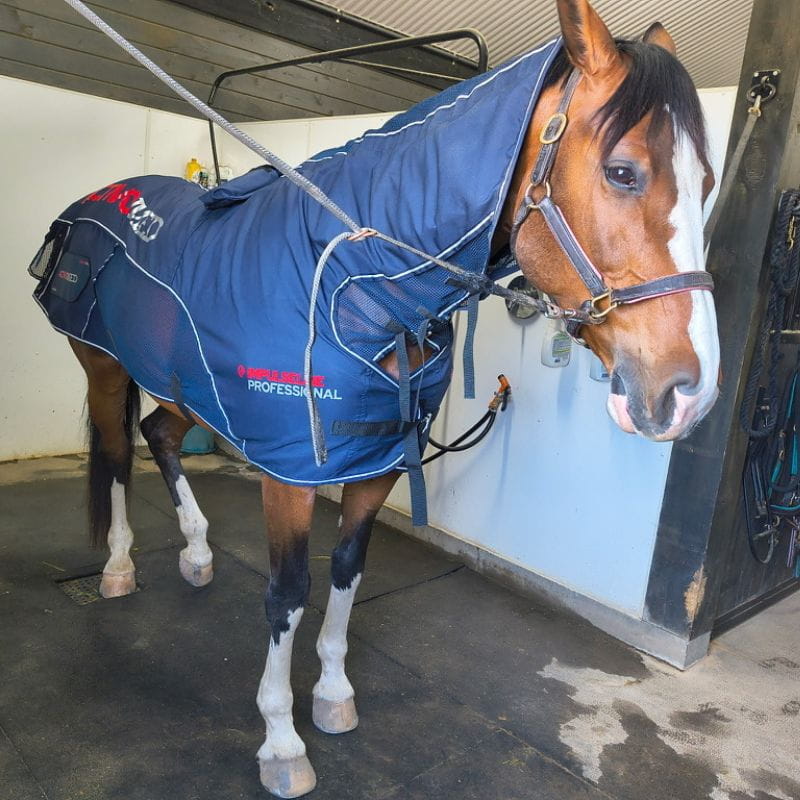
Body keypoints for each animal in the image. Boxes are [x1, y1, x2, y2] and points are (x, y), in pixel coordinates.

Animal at [29, 0, 720, 796]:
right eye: (623, 171)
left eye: (706, 183)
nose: (691, 391)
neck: (358, 280)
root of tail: (93, 203)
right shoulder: (293, 470)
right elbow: (289, 591)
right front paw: (281, 740)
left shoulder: (379, 461)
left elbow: (347, 572)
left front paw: (332, 695)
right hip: (106, 369)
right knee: (116, 456)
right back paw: (118, 568)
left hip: (186, 383)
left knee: (158, 435)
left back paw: (198, 552)